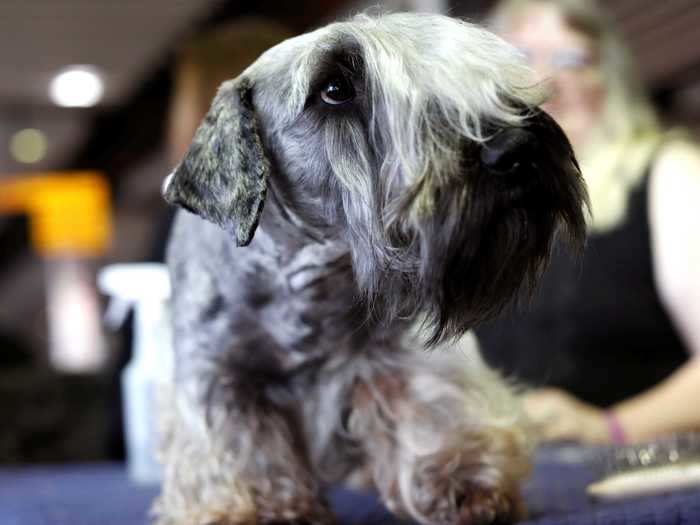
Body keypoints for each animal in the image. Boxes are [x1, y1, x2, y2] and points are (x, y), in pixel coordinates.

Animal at [156, 11, 588, 524]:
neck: (310, 276)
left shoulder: (396, 356)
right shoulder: (219, 376)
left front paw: (462, 484)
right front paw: (263, 509)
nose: (517, 146)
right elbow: (239, 449)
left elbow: (427, 413)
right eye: (334, 89)